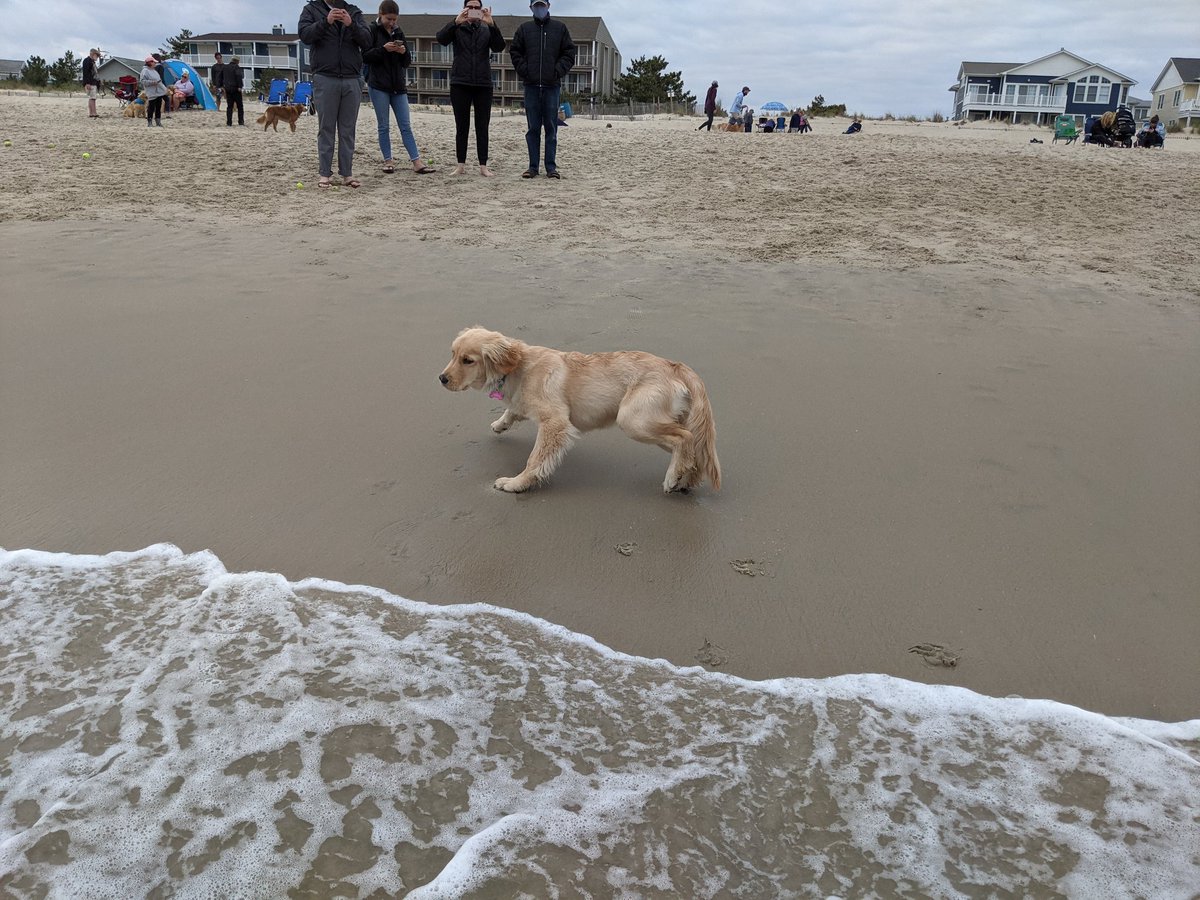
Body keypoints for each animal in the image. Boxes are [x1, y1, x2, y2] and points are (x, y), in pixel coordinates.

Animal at [441, 326, 720, 494]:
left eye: (468, 360)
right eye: (452, 354)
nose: (441, 379)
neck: (520, 366)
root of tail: (676, 366)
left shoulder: (555, 422)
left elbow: (535, 458)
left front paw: (516, 483)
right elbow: (513, 410)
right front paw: (500, 424)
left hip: (633, 419)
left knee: (685, 438)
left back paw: (673, 478)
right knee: (692, 448)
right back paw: (686, 479)